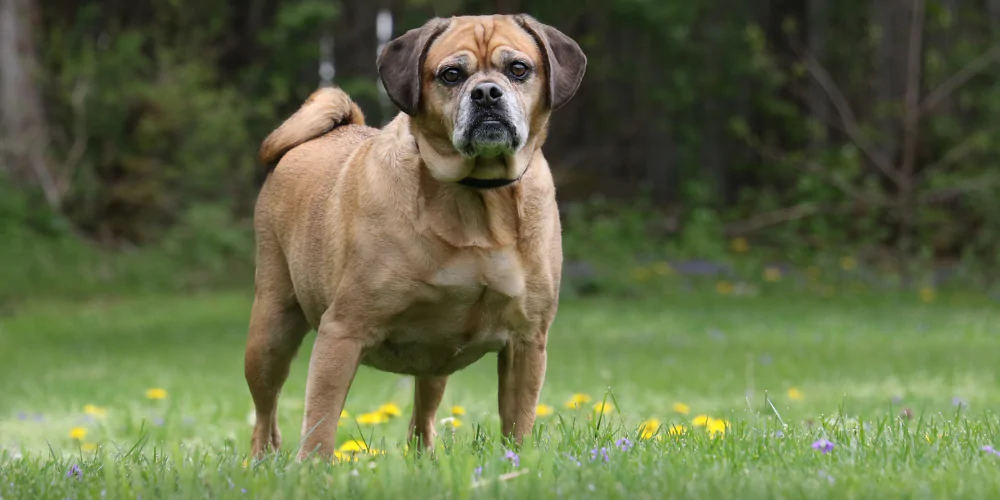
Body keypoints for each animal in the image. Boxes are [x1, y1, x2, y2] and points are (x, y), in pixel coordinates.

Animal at [244, 13, 584, 458]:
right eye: (451, 74)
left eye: (518, 69)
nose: (487, 93)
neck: (477, 197)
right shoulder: (342, 331)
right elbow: (320, 425)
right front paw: (313, 468)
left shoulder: (527, 341)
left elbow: (519, 423)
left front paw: (517, 460)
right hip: (270, 333)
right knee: (264, 415)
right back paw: (262, 460)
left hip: (435, 364)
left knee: (422, 418)